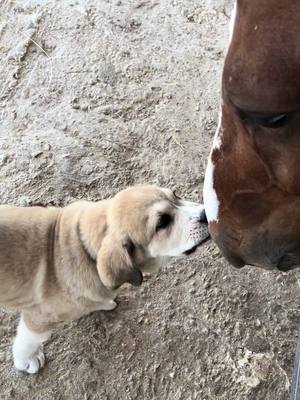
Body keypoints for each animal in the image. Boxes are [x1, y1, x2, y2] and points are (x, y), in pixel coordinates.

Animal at [0, 186, 209, 374]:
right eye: (162, 222)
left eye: (175, 195)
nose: (207, 213)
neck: (83, 249)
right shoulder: (39, 317)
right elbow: (29, 340)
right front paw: (26, 360)